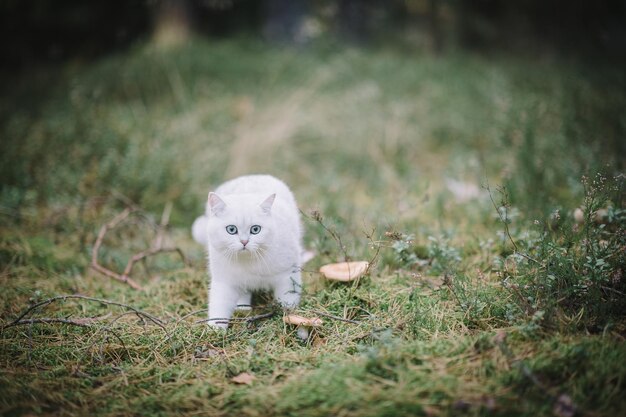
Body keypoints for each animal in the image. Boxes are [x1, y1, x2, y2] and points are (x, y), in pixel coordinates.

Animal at [193, 174, 304, 326]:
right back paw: (243, 308)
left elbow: (287, 298)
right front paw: (215, 329)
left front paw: (287, 315)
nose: (244, 242)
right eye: (231, 229)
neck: (248, 261)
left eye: (255, 229)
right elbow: (219, 307)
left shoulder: (287, 274)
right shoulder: (224, 281)